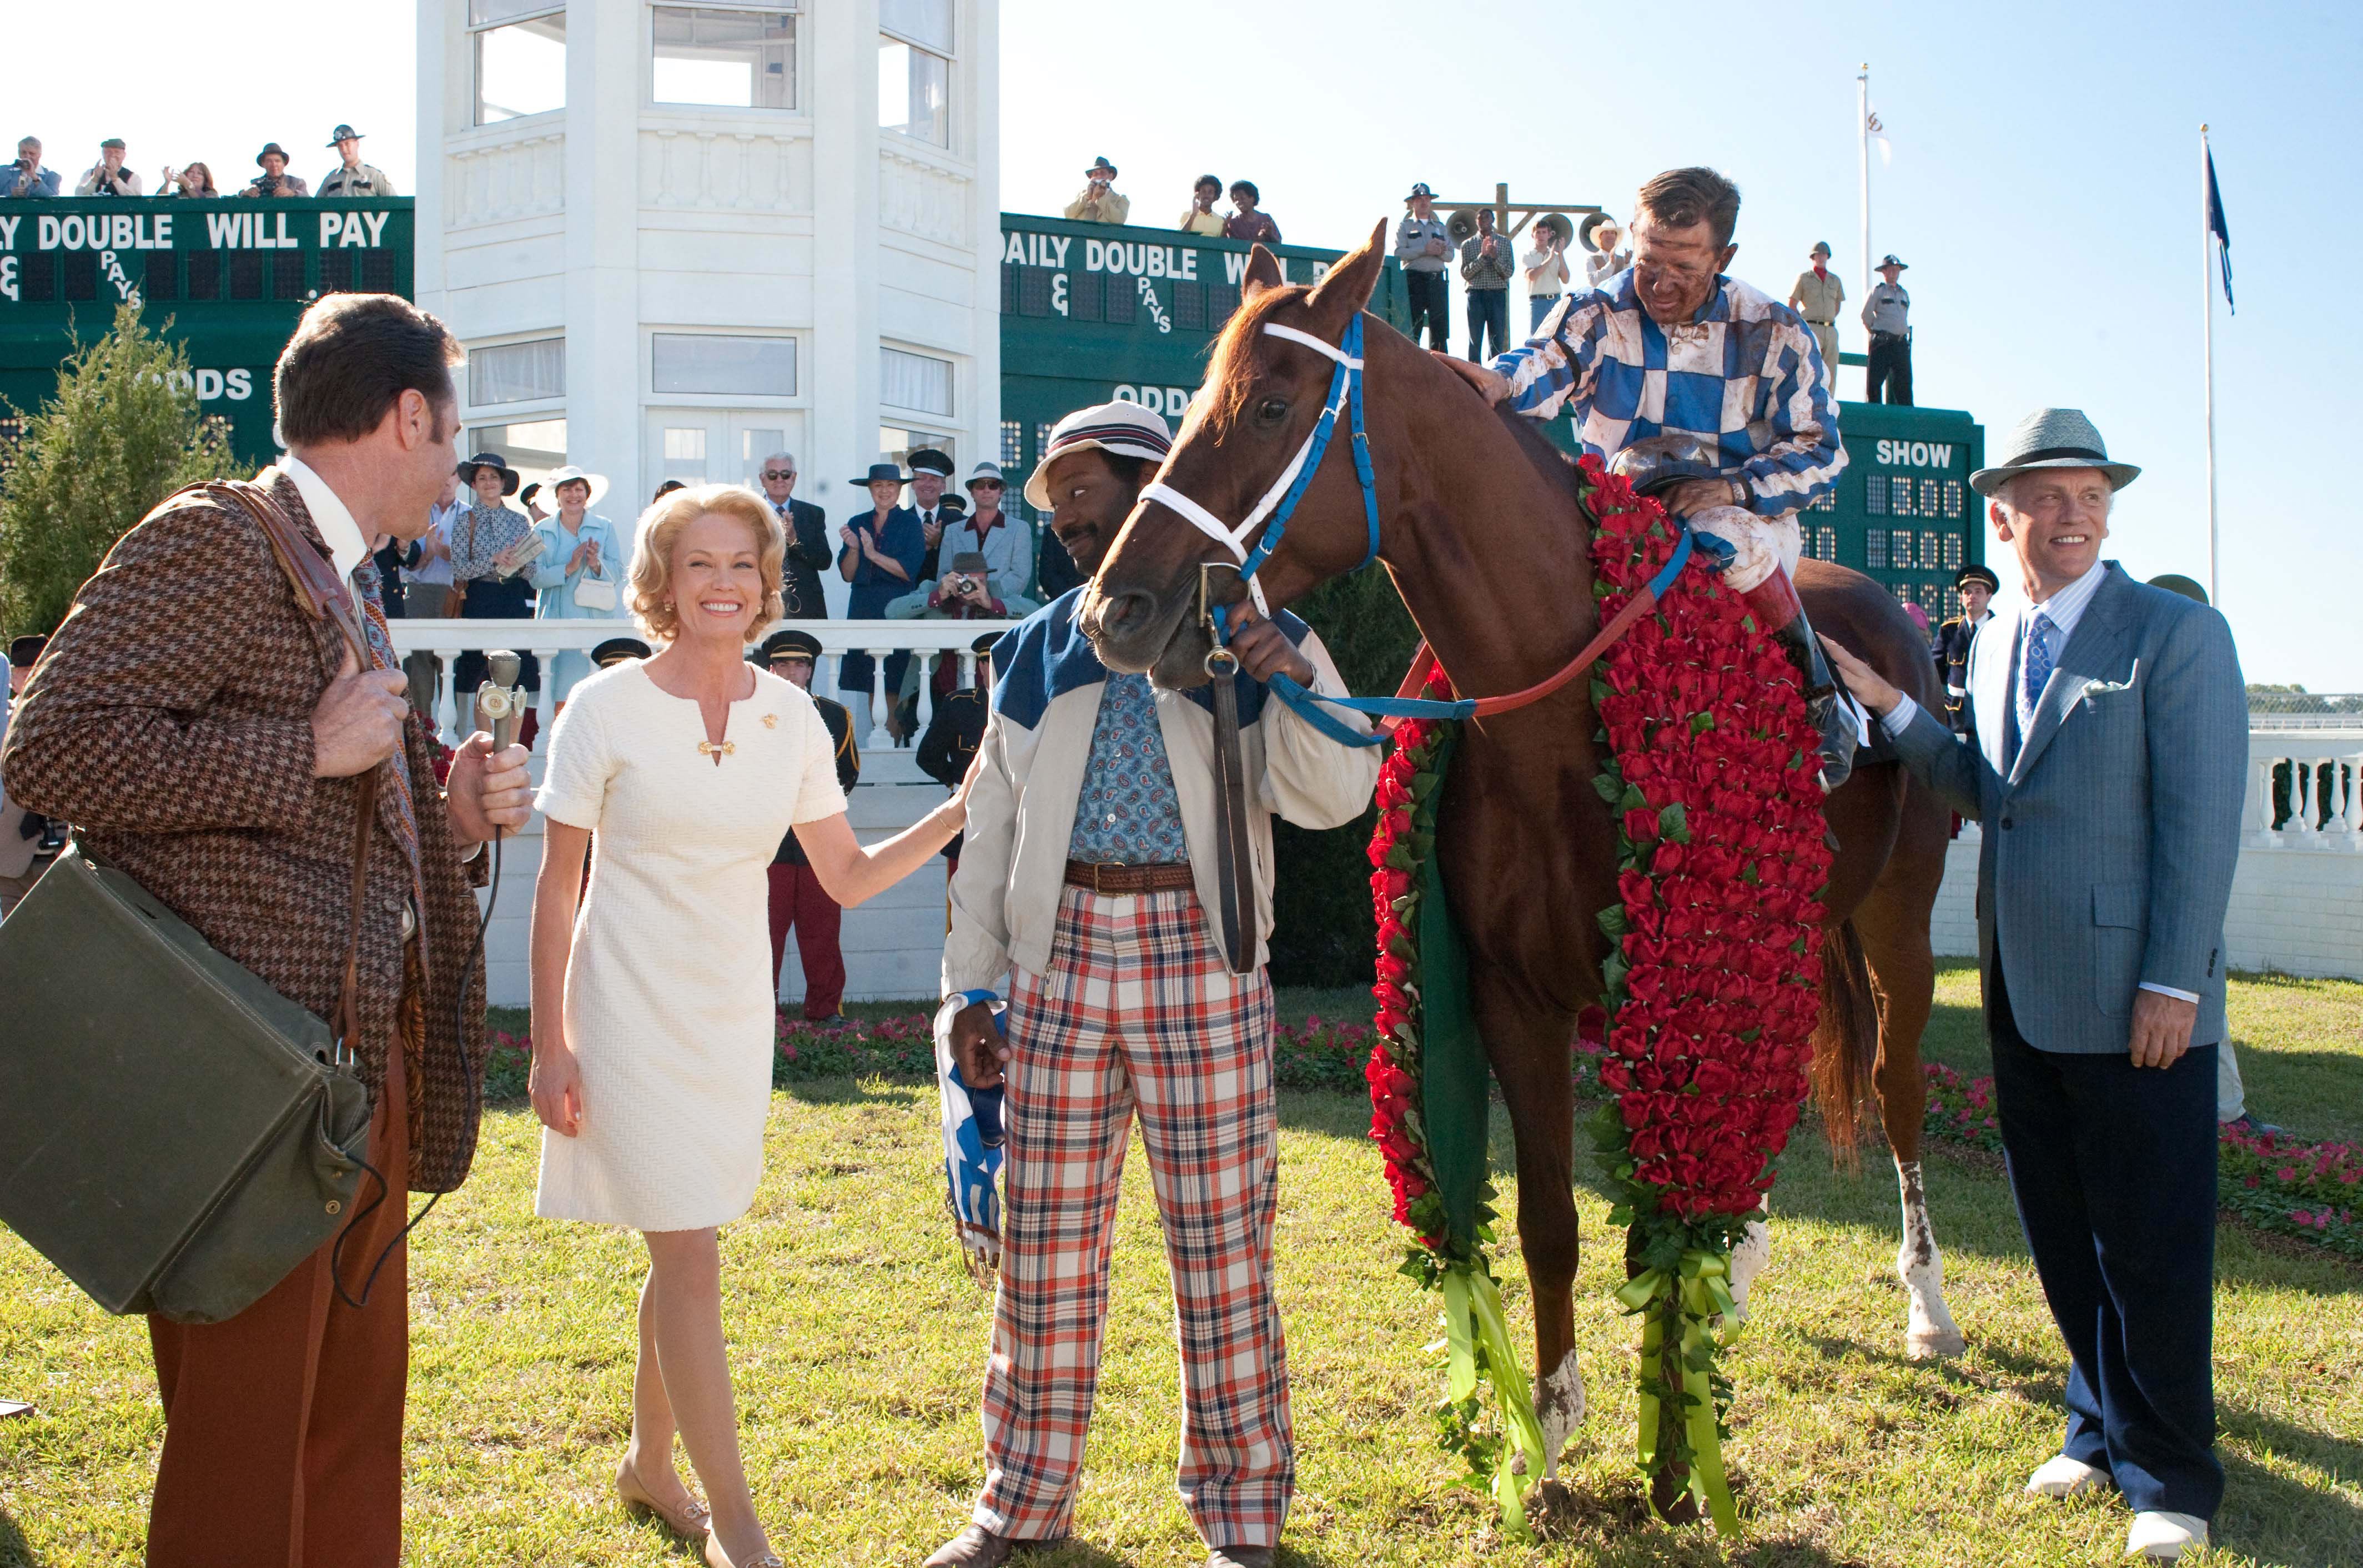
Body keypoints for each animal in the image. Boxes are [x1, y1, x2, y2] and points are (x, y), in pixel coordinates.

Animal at [1082, 223, 1965, 1473]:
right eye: (1198, 400)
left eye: (1268, 408)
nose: (1115, 610)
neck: (1553, 712)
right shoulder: (1514, 991)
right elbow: (1551, 1216)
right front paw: (1545, 1423)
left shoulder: (1658, 979)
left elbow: (1651, 1216)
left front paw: (1670, 1438)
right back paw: (1742, 1259)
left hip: (1899, 909)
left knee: (1892, 1083)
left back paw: (1926, 1301)